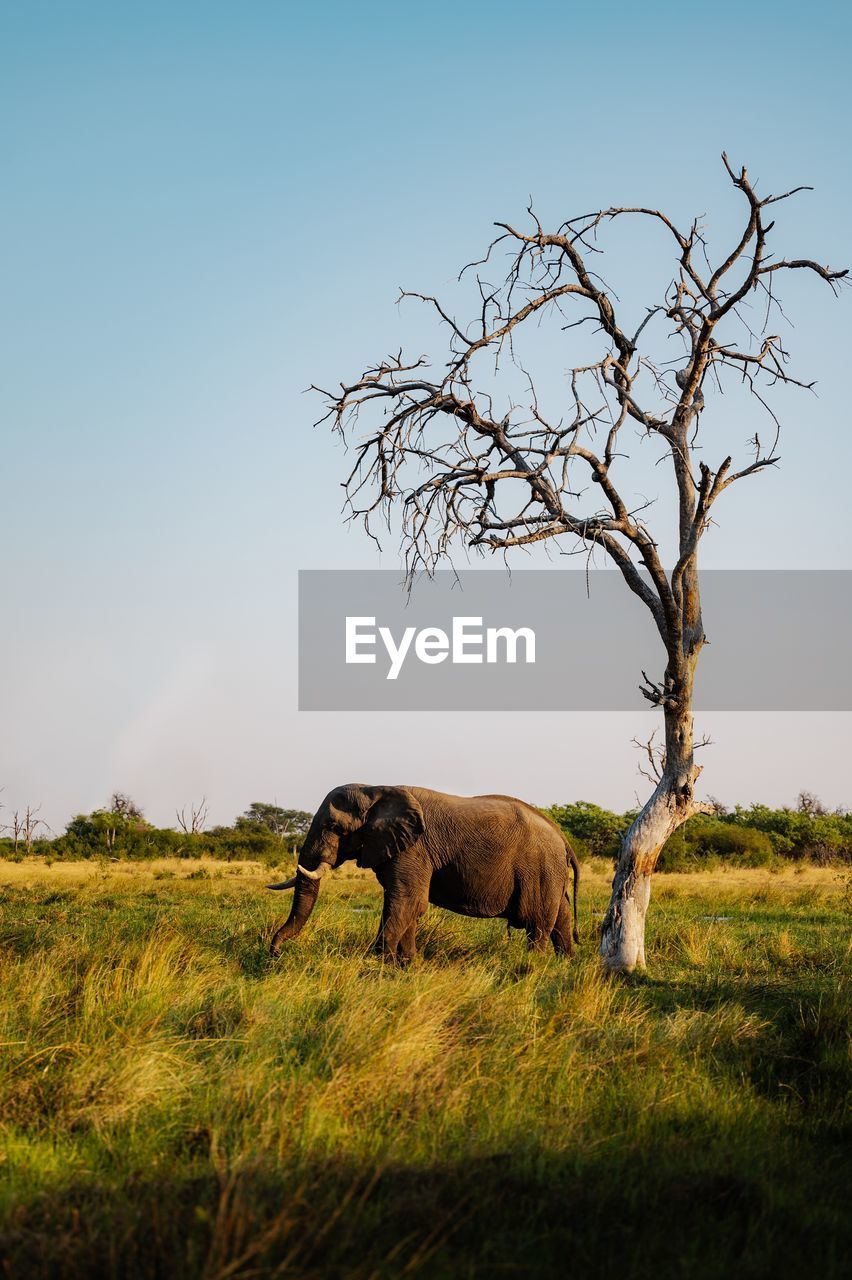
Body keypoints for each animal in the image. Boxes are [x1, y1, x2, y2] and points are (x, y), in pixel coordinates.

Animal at [268, 778, 580, 962]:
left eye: (334, 827)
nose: (275, 954)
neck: (374, 787)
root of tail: (562, 835)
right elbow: (406, 905)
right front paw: (408, 966)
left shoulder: (414, 849)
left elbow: (406, 902)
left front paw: (378, 965)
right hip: (551, 872)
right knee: (561, 917)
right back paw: (564, 965)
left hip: (540, 869)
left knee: (537, 924)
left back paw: (532, 968)